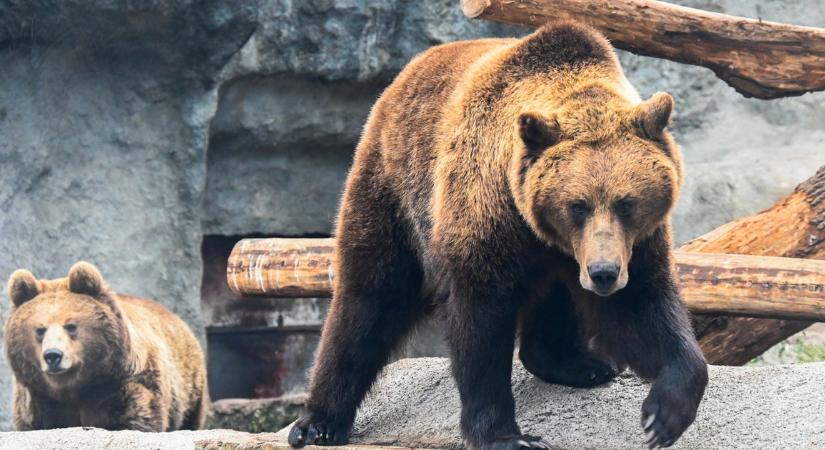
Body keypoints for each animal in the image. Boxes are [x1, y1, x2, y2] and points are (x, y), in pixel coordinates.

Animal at [4, 262, 209, 430]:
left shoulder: (126, 386)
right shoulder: (39, 399)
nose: (53, 355)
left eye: (71, 326)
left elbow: (136, 417)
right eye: (40, 329)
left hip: (189, 387)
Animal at [288, 22, 708, 450]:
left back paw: (580, 364)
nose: (603, 272)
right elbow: (480, 322)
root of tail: (408, 72)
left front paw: (664, 412)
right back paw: (317, 422)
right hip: (393, 187)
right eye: (578, 204)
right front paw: (506, 434)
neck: (539, 228)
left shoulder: (633, 243)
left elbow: (642, 307)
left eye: (626, 203)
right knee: (371, 294)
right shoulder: (487, 214)